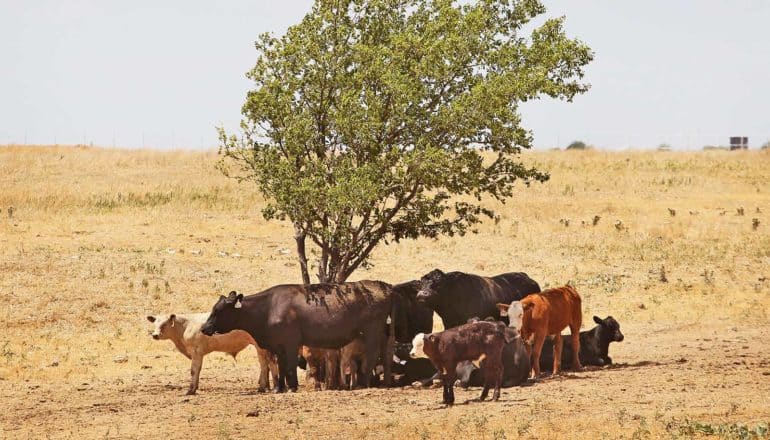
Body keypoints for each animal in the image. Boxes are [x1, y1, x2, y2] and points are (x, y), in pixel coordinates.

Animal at [146, 312, 278, 396]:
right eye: (155, 324)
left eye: (165, 324)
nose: (155, 335)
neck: (185, 326)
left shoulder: (197, 352)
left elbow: (194, 370)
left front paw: (191, 390)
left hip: (260, 346)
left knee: (266, 363)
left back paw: (265, 387)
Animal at [201, 282, 392, 392]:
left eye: (219, 310)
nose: (204, 328)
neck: (268, 308)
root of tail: (382, 288)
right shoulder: (278, 346)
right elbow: (281, 367)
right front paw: (279, 388)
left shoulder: (291, 343)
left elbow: (290, 367)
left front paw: (292, 387)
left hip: (372, 332)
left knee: (372, 356)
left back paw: (362, 383)